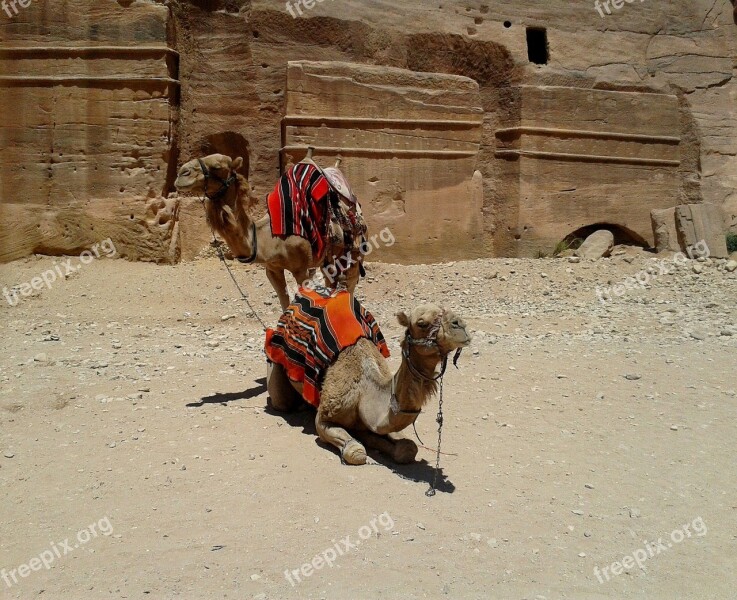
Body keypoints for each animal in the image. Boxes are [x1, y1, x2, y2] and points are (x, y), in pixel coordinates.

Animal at [176, 152, 366, 312]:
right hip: (328, 258)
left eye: (217, 166)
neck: (268, 238)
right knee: (331, 281)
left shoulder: (301, 269)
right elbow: (284, 302)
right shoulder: (272, 269)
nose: (181, 174)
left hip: (354, 251)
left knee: (350, 283)